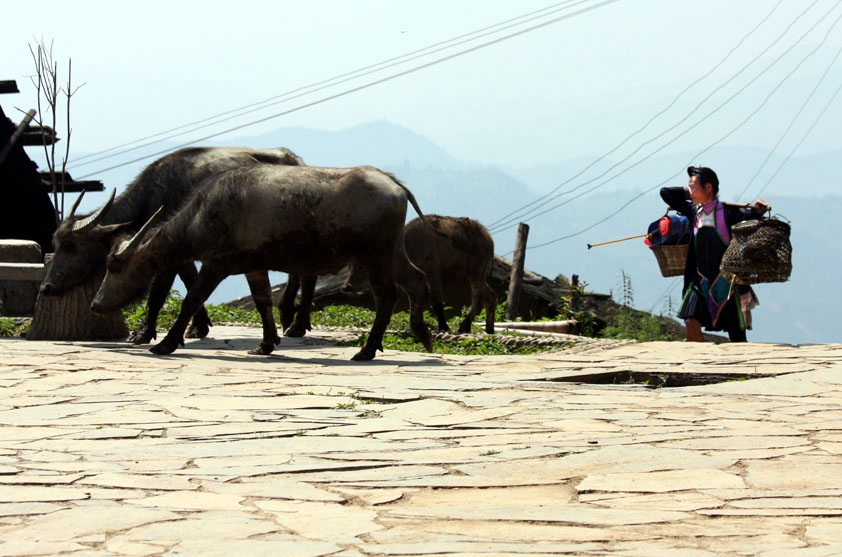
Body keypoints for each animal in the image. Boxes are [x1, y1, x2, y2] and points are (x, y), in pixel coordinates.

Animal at [40, 144, 302, 344]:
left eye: (70, 246)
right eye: (56, 243)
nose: (46, 288)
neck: (152, 197)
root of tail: (294, 159)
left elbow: (159, 292)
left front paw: (143, 333)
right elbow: (190, 282)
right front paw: (199, 326)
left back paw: (294, 321)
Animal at [91, 163, 434, 360]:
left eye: (114, 266)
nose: (96, 304)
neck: (205, 214)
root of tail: (393, 184)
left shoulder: (216, 266)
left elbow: (191, 300)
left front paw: (165, 343)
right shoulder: (254, 267)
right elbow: (262, 302)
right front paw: (266, 344)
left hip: (376, 254)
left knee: (386, 295)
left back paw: (367, 349)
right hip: (393, 252)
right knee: (417, 279)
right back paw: (423, 334)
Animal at [342, 215, 496, 332]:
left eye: (362, 265)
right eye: (350, 265)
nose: (346, 287)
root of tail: (489, 238)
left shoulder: (433, 273)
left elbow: (436, 302)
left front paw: (443, 326)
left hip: (476, 272)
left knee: (480, 298)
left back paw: (465, 325)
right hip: (473, 275)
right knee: (490, 295)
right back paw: (489, 328)